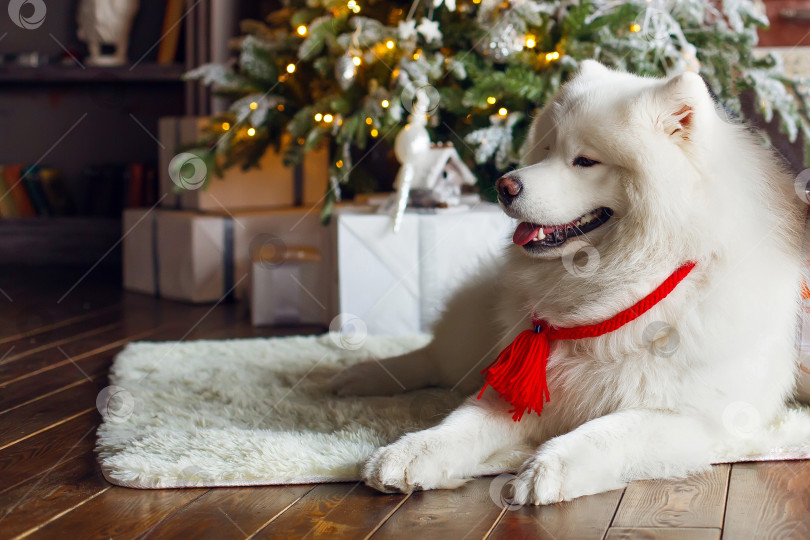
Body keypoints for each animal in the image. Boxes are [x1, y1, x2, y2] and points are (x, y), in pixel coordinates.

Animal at [326, 61, 800, 504]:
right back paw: (358, 377)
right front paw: (408, 453)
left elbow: (608, 431)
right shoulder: (522, 384)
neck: (620, 292)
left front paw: (545, 469)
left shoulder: (692, 416)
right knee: (432, 358)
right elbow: (459, 424)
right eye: (545, 150)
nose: (503, 185)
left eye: (585, 161)